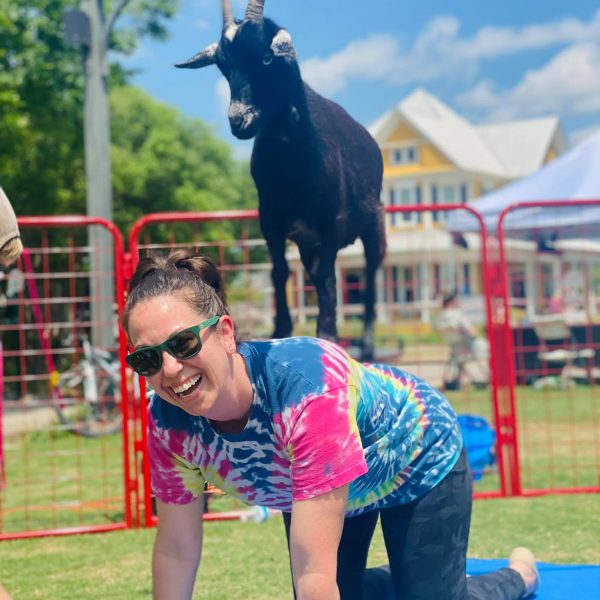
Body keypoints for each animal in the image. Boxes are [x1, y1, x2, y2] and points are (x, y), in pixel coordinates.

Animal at [176, 0, 386, 360]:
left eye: (266, 57)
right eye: (223, 67)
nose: (239, 120)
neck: (295, 169)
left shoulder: (333, 219)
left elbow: (329, 278)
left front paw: (327, 334)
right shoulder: (270, 221)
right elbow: (280, 273)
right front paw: (281, 330)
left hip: (373, 223)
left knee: (371, 273)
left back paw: (369, 343)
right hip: (307, 243)